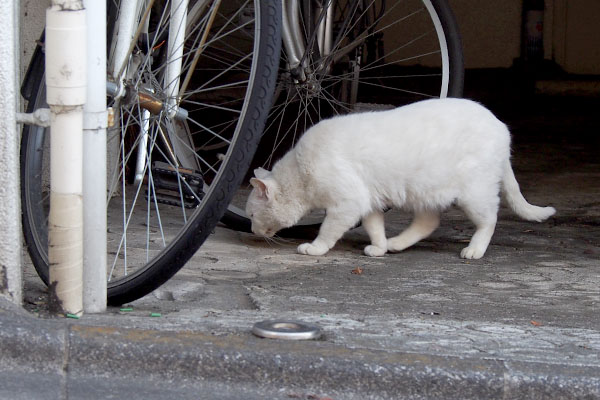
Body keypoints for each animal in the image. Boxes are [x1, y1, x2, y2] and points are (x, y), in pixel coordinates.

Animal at [246, 98, 556, 258]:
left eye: (250, 215)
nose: (250, 229)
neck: (300, 172)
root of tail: (501, 126)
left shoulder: (347, 203)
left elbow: (327, 230)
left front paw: (315, 248)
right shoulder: (367, 202)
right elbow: (374, 226)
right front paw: (380, 247)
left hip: (474, 194)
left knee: (489, 219)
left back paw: (474, 250)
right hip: (425, 193)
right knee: (428, 222)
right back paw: (396, 244)